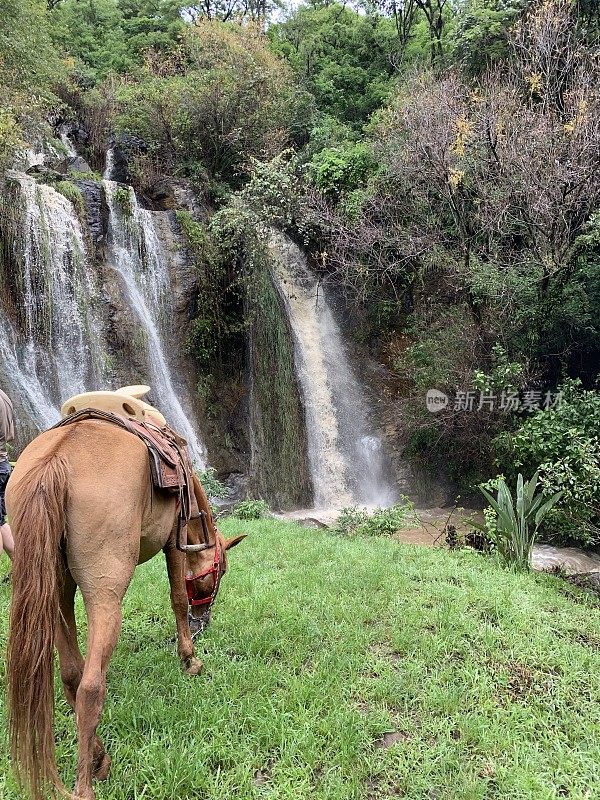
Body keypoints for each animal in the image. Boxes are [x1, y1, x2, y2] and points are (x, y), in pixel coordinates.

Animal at [4, 422, 244, 796]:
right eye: (220, 573)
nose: (203, 620)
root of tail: (56, 458)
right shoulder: (173, 543)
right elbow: (177, 598)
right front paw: (189, 659)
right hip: (105, 593)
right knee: (90, 687)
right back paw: (85, 786)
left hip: (52, 588)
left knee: (71, 674)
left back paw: (99, 757)